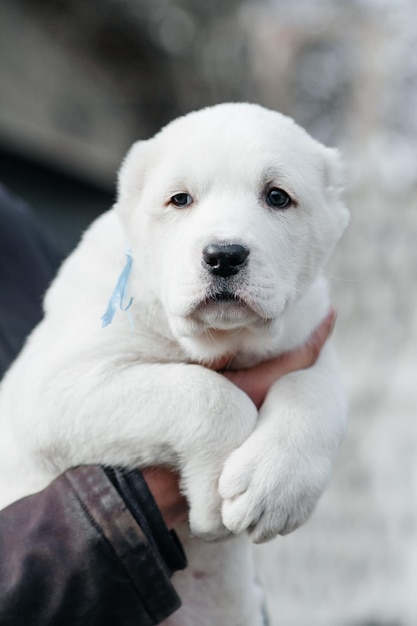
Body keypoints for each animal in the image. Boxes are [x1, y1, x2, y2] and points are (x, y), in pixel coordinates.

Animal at [0, 103, 348, 624]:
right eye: (179, 199)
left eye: (277, 196)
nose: (224, 255)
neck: (220, 341)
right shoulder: (56, 385)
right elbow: (204, 393)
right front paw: (211, 501)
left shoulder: (308, 331)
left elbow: (313, 388)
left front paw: (275, 487)